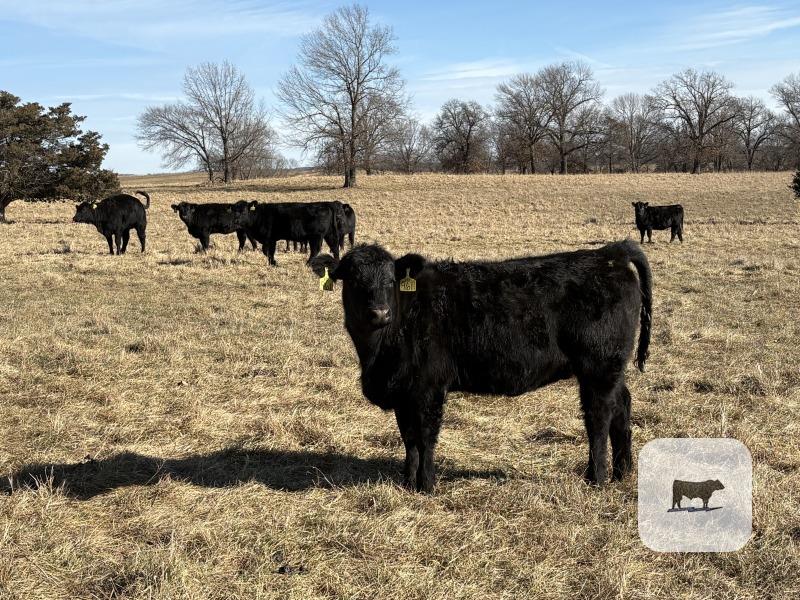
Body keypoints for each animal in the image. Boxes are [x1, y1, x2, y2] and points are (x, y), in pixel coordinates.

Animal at [309, 239, 652, 492]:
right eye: (353, 280)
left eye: (391, 279)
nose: (380, 312)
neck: (376, 354)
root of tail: (609, 254)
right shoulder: (405, 392)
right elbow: (409, 439)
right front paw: (407, 482)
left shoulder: (429, 388)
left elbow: (426, 435)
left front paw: (427, 485)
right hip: (611, 369)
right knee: (622, 407)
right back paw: (622, 472)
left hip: (598, 367)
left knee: (598, 418)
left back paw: (596, 478)